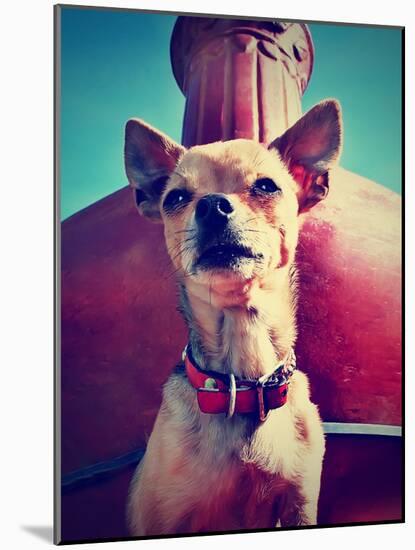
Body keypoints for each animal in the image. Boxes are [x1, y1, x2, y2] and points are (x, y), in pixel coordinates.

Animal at [125, 100, 342, 540]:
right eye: (175, 197)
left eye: (266, 186)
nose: (212, 204)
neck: (243, 385)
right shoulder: (165, 517)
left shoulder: (299, 504)